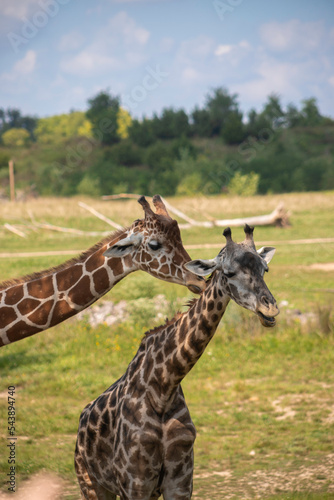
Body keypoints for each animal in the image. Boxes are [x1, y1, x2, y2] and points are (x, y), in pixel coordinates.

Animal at [75, 226, 280, 500]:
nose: (270, 310)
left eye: (264, 269)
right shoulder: (134, 483)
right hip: (92, 484)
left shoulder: (180, 480)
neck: (164, 387)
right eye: (228, 272)